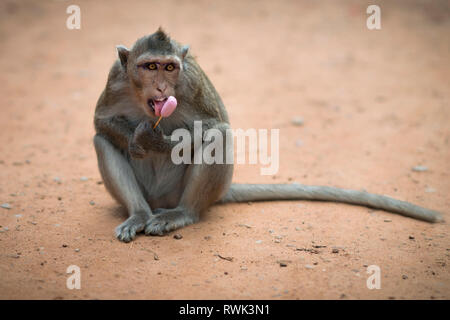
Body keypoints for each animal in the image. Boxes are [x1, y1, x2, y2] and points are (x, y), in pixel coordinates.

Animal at [94, 28, 442, 242]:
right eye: (149, 66)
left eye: (169, 68)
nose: (161, 89)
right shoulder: (115, 76)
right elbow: (102, 121)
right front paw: (138, 140)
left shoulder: (192, 82)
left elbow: (217, 124)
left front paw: (154, 141)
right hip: (151, 194)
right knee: (102, 142)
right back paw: (139, 215)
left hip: (179, 193)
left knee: (218, 139)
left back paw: (183, 214)